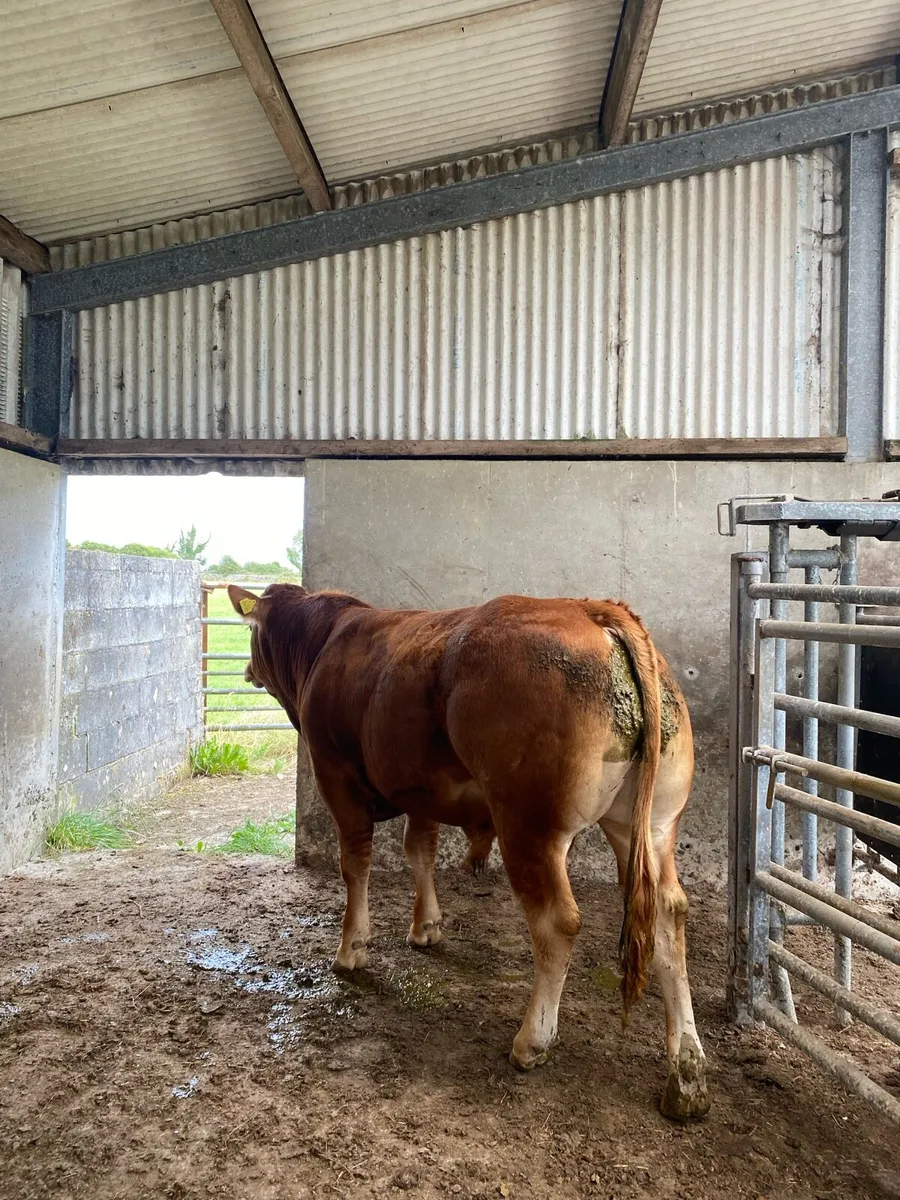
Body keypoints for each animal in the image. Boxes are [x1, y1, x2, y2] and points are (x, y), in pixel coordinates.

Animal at [228, 582, 709, 1120]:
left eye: (252, 631)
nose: (247, 670)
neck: (324, 641)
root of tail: (590, 609)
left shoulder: (336, 776)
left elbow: (355, 863)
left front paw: (351, 948)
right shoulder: (419, 788)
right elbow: (419, 851)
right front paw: (426, 927)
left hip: (530, 824)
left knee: (558, 922)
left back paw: (532, 1041)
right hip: (650, 824)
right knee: (668, 913)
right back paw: (687, 1071)